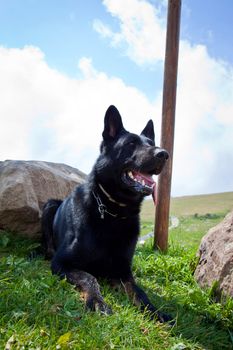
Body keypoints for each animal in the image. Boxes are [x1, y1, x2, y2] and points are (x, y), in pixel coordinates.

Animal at [41, 106, 169, 322]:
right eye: (131, 143)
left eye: (152, 144)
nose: (164, 154)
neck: (113, 212)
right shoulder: (61, 263)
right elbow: (89, 277)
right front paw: (97, 301)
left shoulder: (123, 271)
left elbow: (139, 292)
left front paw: (155, 311)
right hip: (49, 205)